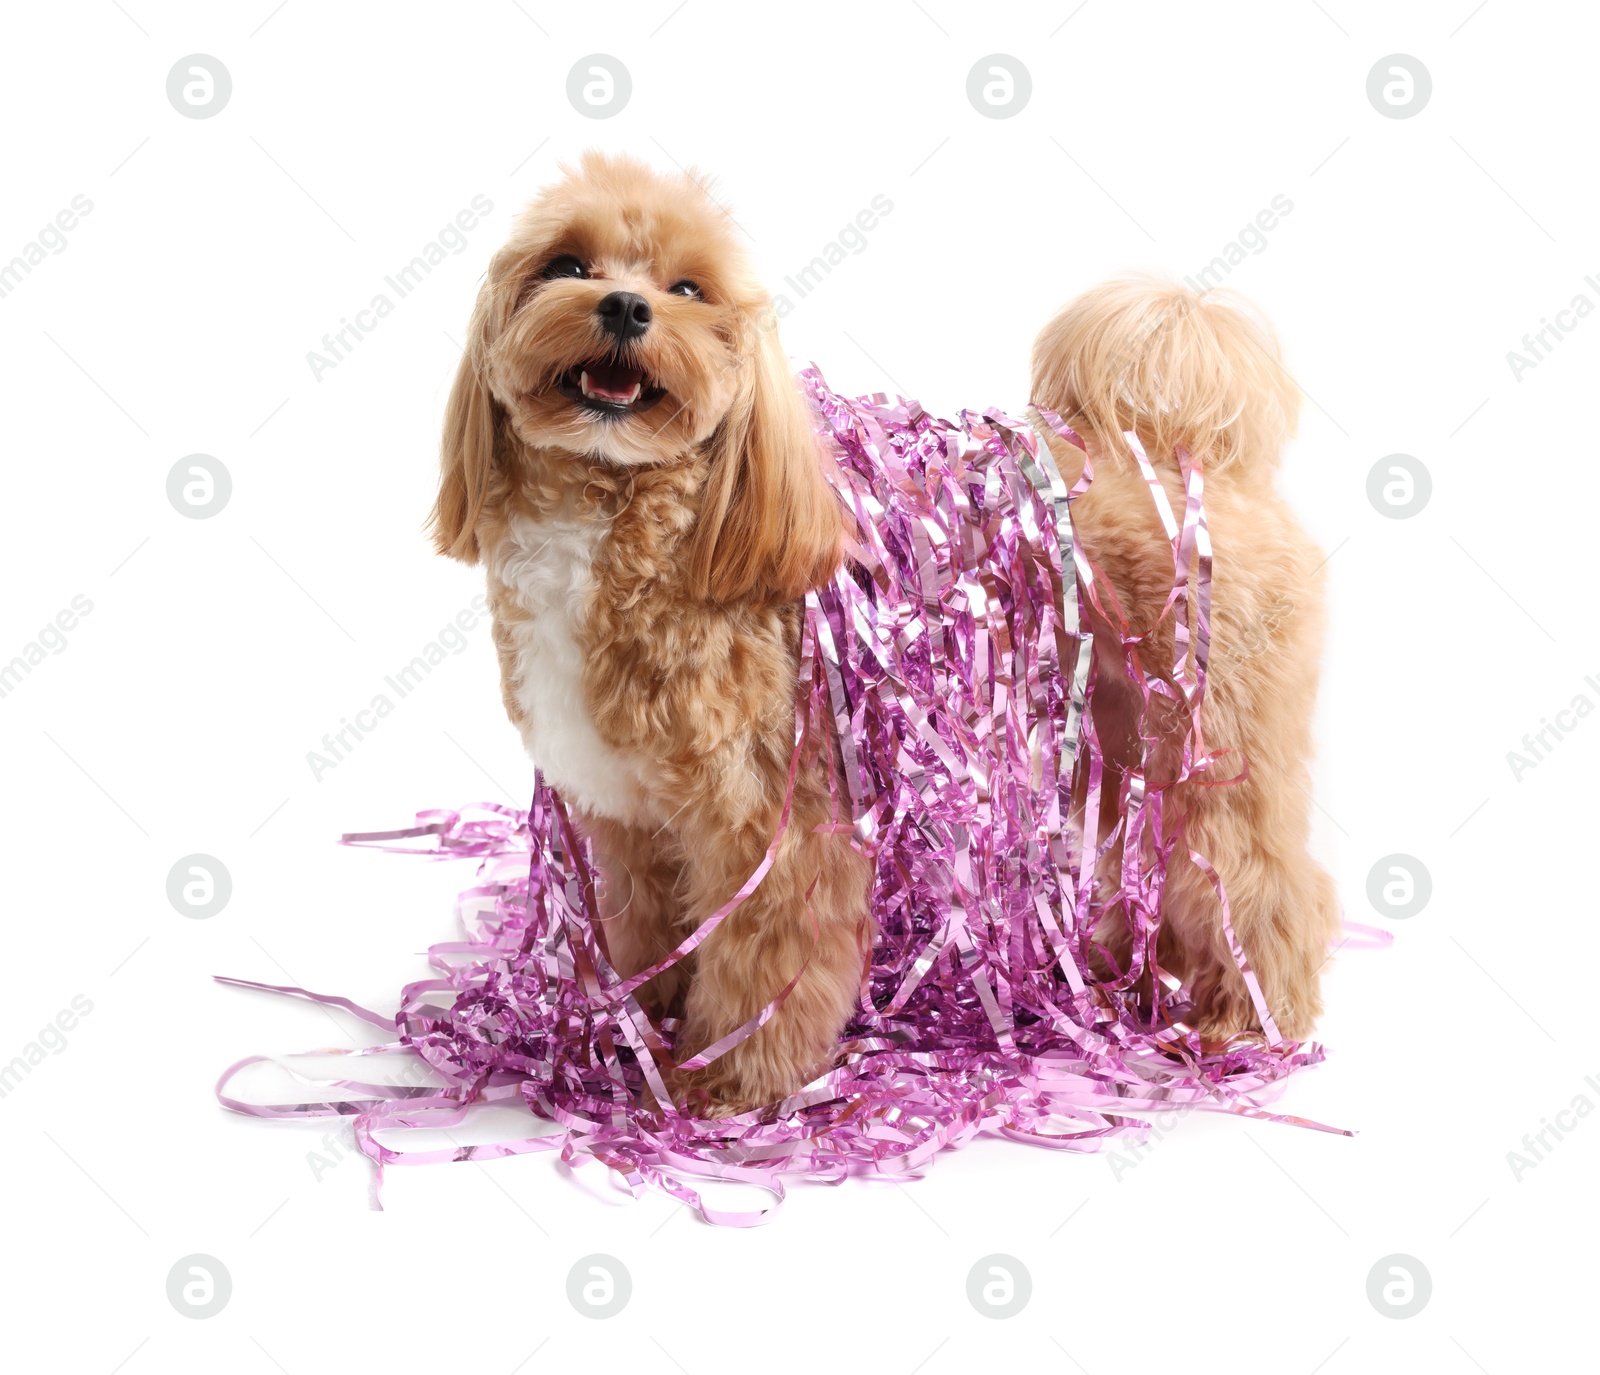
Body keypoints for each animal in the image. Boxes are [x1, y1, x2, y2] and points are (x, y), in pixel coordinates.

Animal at [428, 152, 1337, 1120]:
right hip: (1127, 728)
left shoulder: (771, 819)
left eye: (688, 288)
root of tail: (1182, 448)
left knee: (1260, 875)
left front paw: (730, 1079)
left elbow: (769, 959)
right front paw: (636, 1033)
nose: (628, 307)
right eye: (565, 265)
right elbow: (644, 934)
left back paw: (1248, 1014)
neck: (623, 513)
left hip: (1213, 740)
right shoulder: (632, 817)